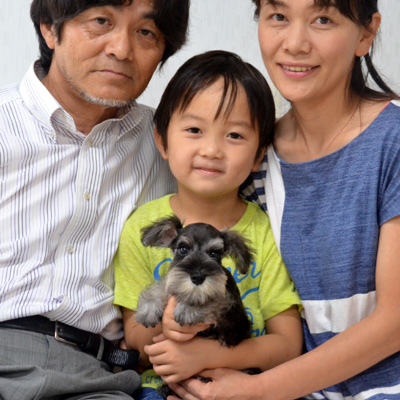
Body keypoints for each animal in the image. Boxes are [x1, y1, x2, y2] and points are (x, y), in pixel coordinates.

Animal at [135, 215, 255, 398]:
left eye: (214, 253)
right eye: (183, 248)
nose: (197, 277)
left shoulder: (229, 307)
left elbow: (214, 299)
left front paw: (188, 309)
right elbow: (165, 284)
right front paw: (148, 307)